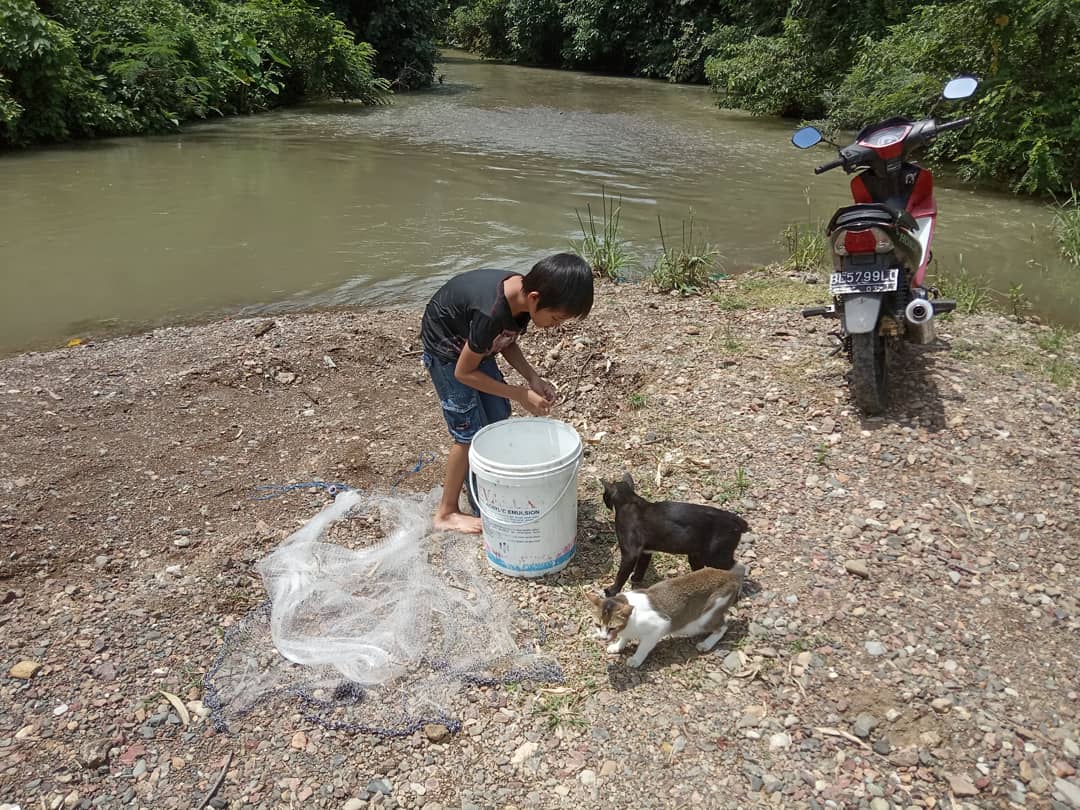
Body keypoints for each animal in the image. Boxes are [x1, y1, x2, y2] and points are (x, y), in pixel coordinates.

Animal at [587, 565, 747, 673]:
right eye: (598, 625)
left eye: (611, 627)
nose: (603, 638)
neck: (630, 621)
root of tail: (731, 575)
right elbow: (624, 638)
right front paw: (617, 646)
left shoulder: (659, 626)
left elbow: (644, 647)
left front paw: (636, 659)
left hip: (704, 618)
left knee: (723, 626)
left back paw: (706, 644)